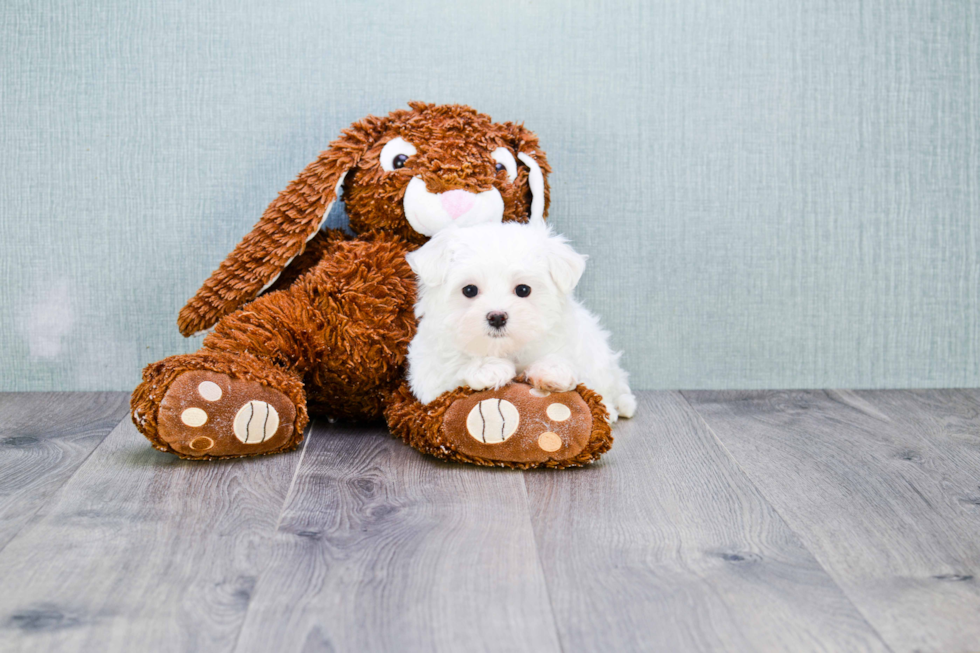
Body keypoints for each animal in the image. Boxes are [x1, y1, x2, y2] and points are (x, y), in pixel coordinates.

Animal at [404, 220, 636, 422]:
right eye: (469, 290)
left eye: (523, 290)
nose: (497, 316)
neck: (506, 349)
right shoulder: (428, 371)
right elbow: (451, 368)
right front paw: (488, 368)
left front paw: (552, 371)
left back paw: (619, 407)